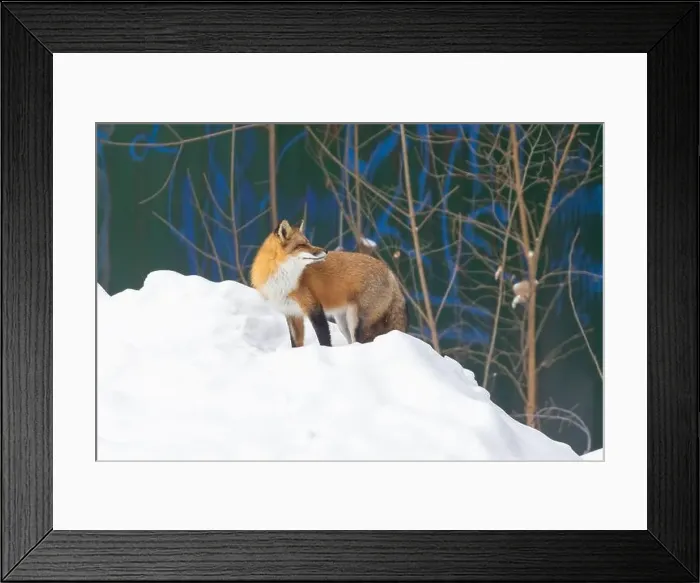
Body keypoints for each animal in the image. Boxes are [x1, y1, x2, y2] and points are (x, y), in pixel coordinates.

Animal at [250, 219, 408, 348]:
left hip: (356, 322)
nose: (325, 250)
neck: (283, 279)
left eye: (308, 242)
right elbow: (296, 344)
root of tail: (390, 272)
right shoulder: (292, 313)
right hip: (343, 323)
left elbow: (324, 339)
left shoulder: (314, 308)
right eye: (302, 245)